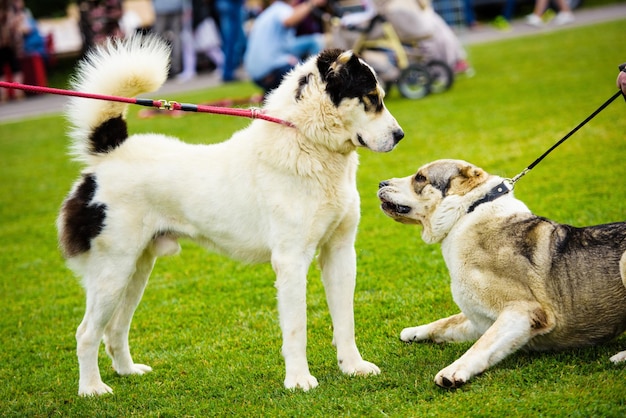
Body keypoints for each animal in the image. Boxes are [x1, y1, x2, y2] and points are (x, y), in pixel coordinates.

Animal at [56, 35, 402, 396]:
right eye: (371, 97)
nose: (400, 136)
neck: (307, 141)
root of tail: (110, 155)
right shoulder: (291, 260)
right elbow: (296, 327)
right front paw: (298, 380)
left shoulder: (340, 252)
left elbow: (345, 319)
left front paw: (353, 367)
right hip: (113, 271)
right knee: (87, 333)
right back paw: (92, 389)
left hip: (136, 269)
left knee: (115, 329)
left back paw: (128, 372)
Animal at [376, 159, 624, 388]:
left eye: (420, 178)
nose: (380, 183)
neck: (466, 213)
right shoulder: (479, 319)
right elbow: (447, 322)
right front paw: (414, 331)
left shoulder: (524, 311)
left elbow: (481, 345)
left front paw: (452, 372)